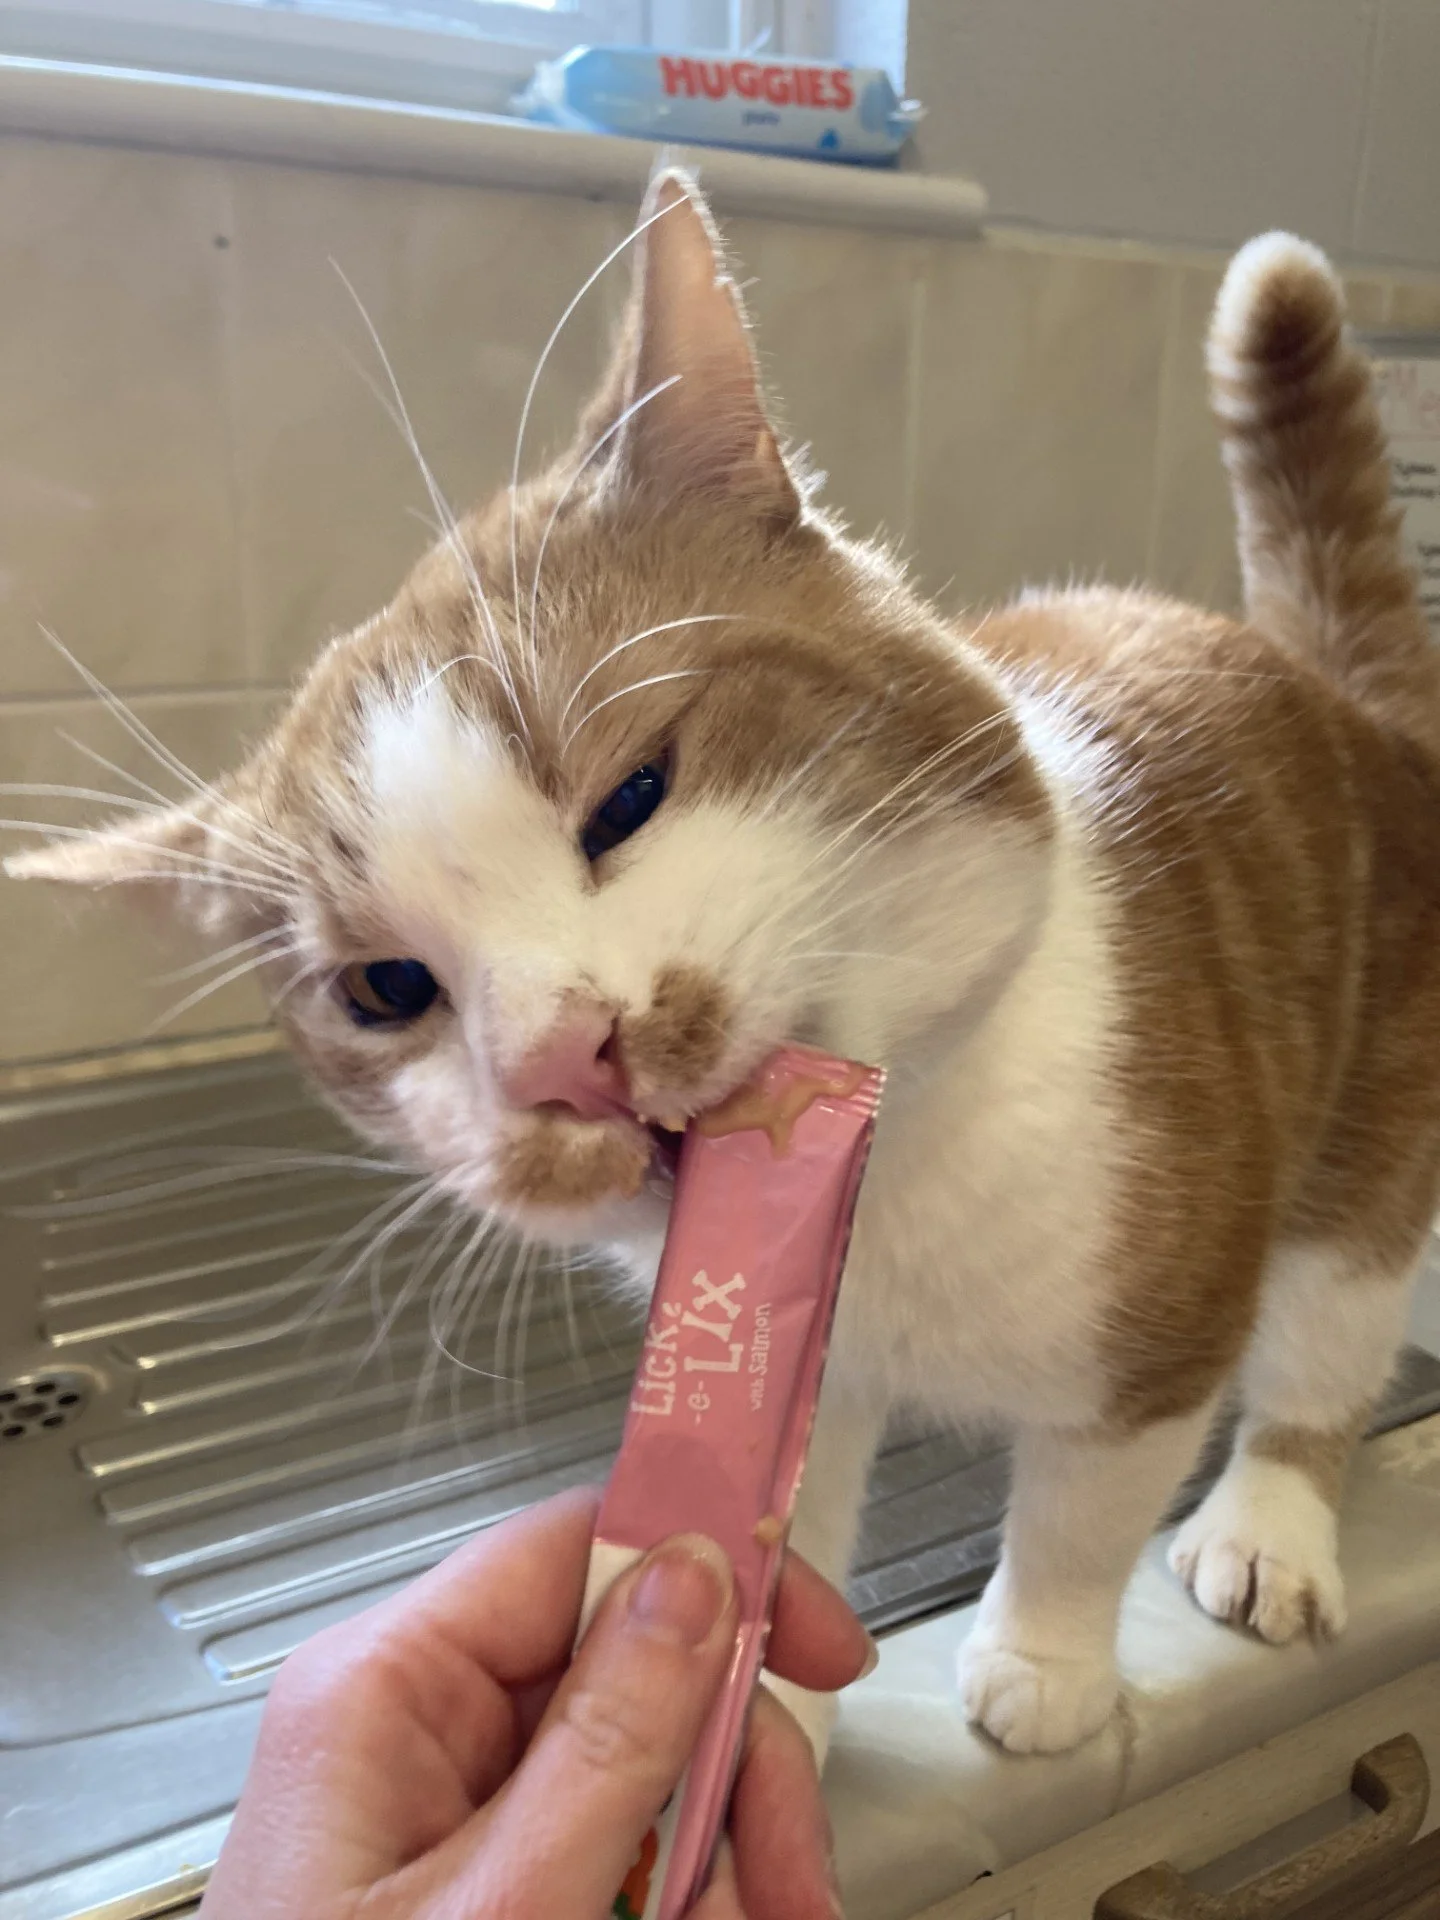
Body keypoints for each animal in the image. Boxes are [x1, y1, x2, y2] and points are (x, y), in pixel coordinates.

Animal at [13, 169, 1440, 1761]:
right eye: (384, 992)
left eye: (632, 795)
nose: (560, 1055)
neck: (891, 1189)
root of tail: (1350, 708)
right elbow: (778, 1513)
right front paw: (748, 1705)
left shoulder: (1164, 1305)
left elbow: (1086, 1504)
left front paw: (1045, 1667)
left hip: (1375, 1113)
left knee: (1329, 1331)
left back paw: (1269, 1522)